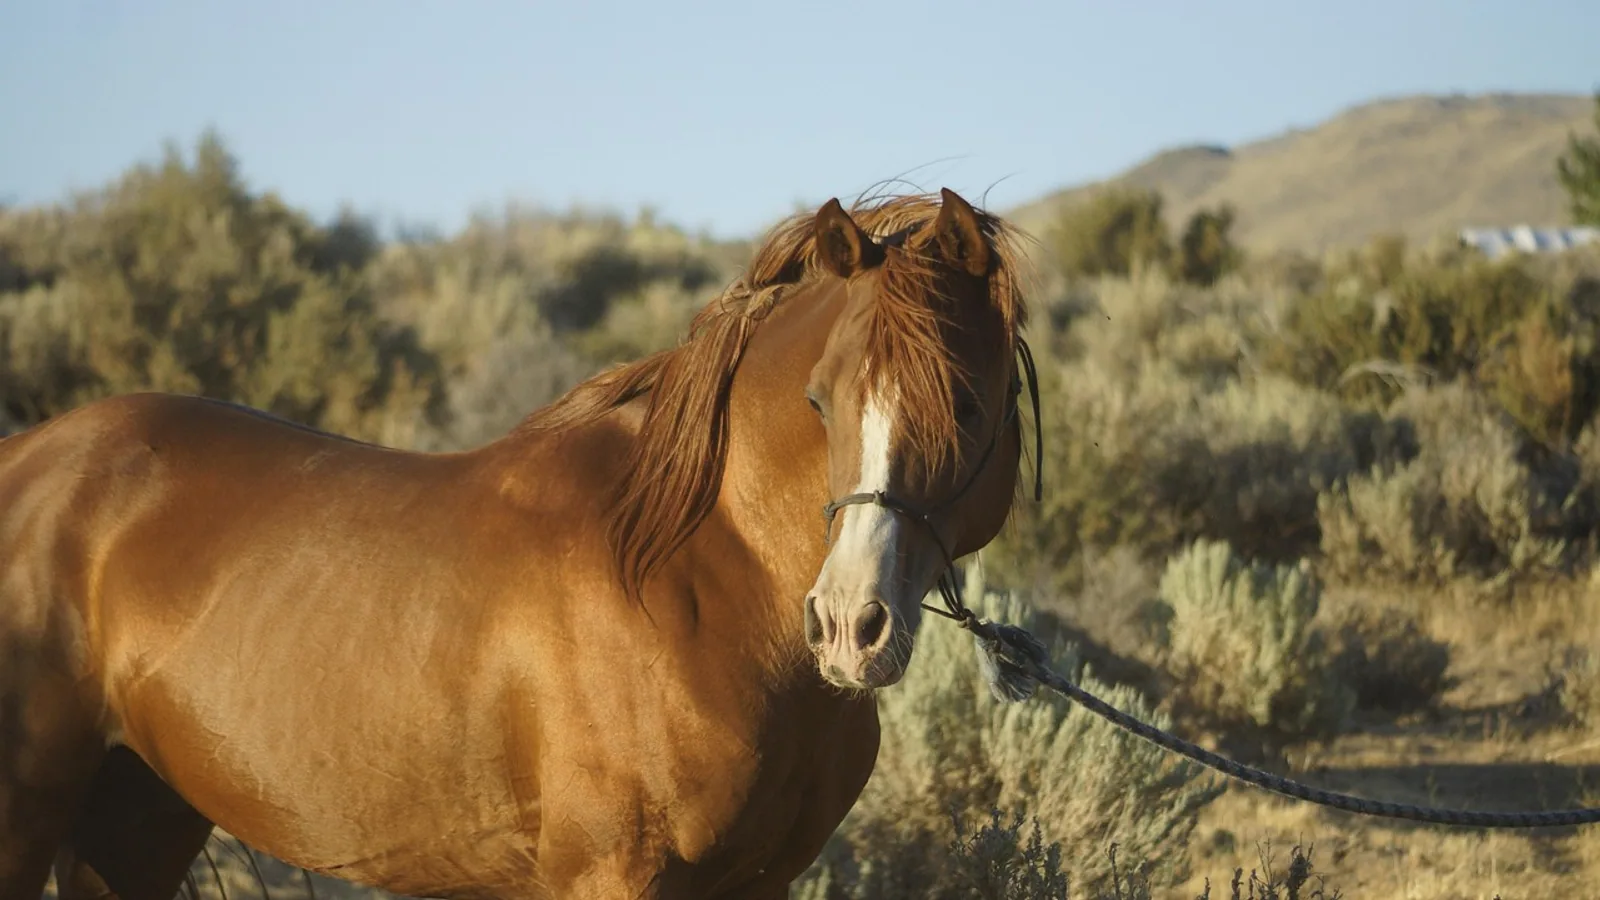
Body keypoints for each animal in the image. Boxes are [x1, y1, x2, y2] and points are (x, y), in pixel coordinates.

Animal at [0, 187, 1035, 899]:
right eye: (819, 402)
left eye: (968, 405)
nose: (850, 627)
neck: (703, 583)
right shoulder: (615, 876)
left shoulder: (760, 883)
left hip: (136, 815)